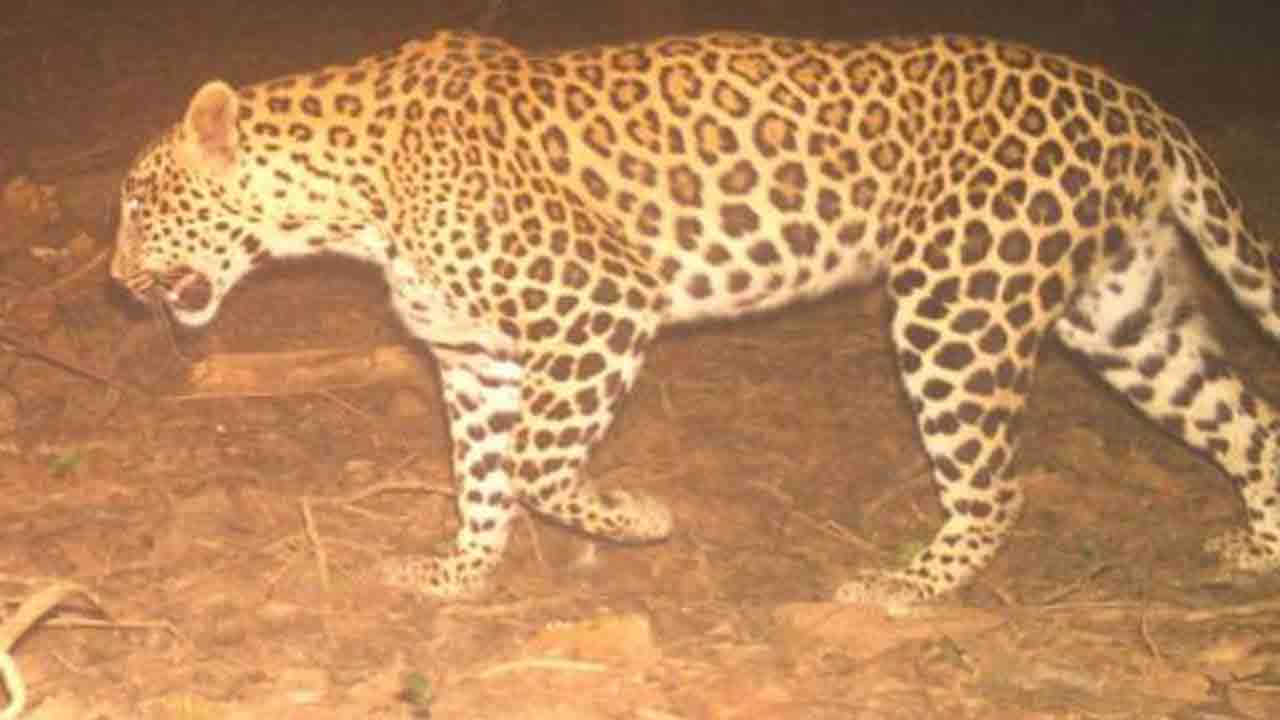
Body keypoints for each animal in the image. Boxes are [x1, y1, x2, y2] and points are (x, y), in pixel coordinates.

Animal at [111, 29, 1280, 608]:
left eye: (139, 202)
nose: (116, 281)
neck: (345, 196)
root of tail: (1136, 102)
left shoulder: (600, 304)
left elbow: (538, 465)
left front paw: (639, 518)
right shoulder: (474, 355)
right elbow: (481, 476)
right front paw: (459, 575)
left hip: (958, 303)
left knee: (997, 485)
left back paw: (904, 587)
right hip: (1120, 311)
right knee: (1251, 423)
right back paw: (1257, 556)